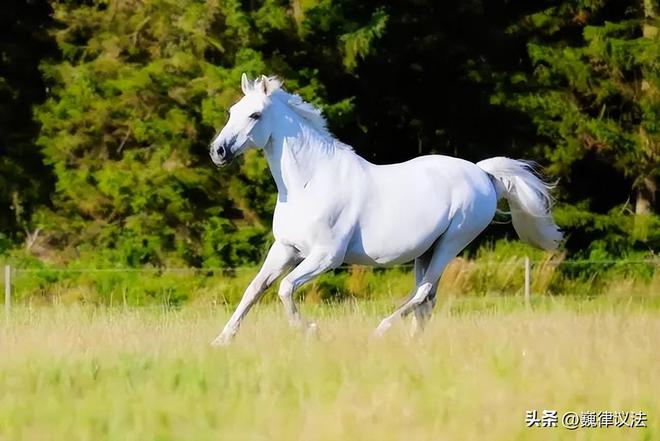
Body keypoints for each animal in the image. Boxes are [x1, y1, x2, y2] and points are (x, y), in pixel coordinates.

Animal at [209, 75, 560, 344]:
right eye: (232, 111)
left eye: (255, 115)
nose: (218, 151)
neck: (310, 182)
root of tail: (484, 174)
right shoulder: (285, 249)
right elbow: (254, 289)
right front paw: (221, 340)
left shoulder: (326, 257)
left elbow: (284, 289)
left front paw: (310, 330)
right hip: (428, 250)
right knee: (426, 298)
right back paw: (413, 343)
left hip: (452, 243)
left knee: (422, 293)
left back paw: (381, 331)